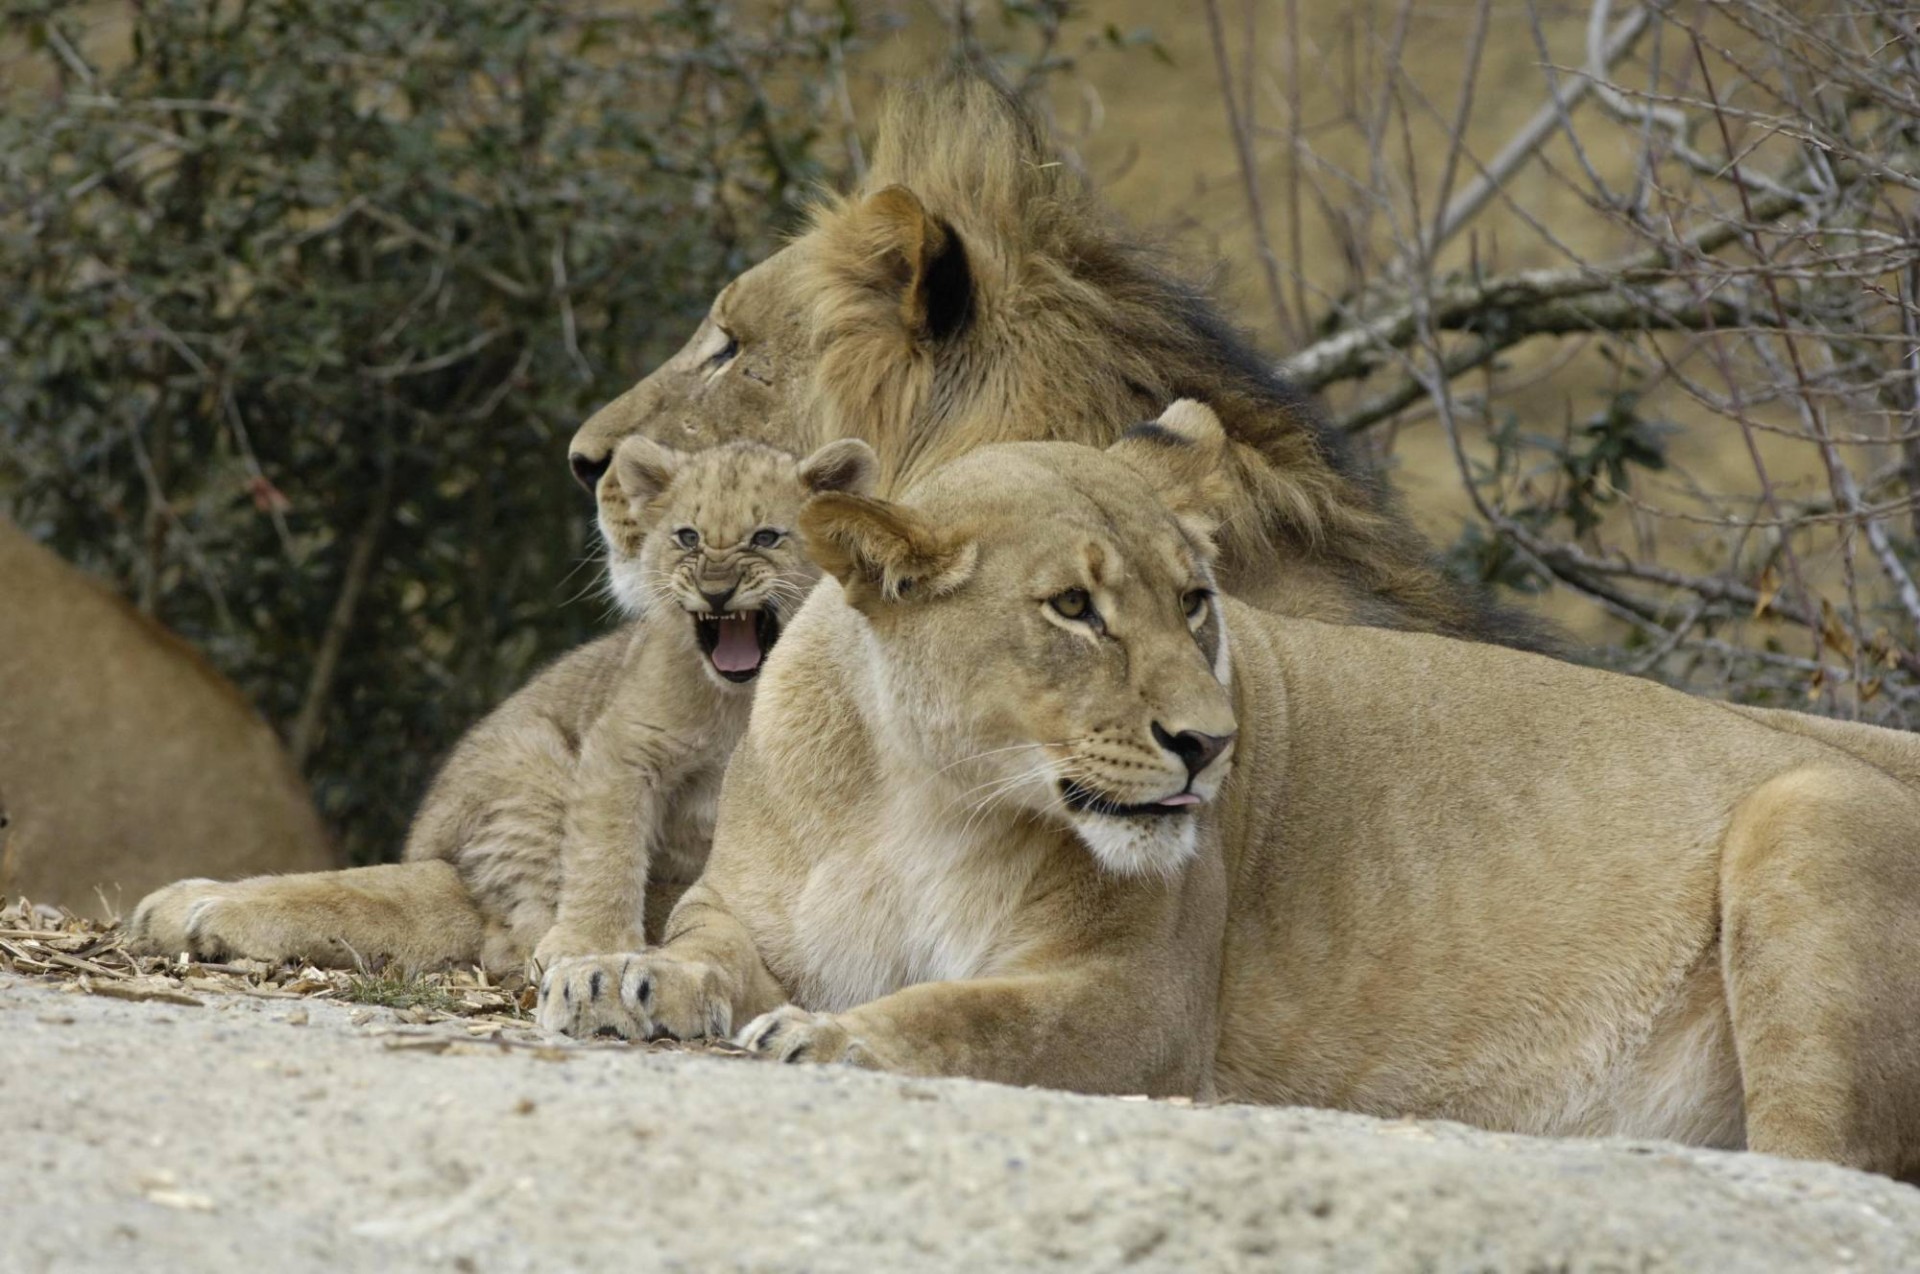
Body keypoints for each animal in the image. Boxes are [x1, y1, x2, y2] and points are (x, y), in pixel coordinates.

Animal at [129, 437, 875, 972]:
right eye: (687, 537)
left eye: (766, 537)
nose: (717, 590)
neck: (734, 701)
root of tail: (429, 846)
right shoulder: (621, 745)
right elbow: (608, 853)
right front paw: (594, 945)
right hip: (530, 765)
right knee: (506, 937)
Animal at [537, 401, 1920, 1183]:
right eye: (1074, 607)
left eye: (1194, 598)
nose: (1211, 744)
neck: (927, 794)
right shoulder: (751, 905)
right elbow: (700, 944)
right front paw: (617, 973)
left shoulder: (1142, 998)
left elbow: (976, 1014)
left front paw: (836, 1035)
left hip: (1804, 813)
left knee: (1832, 1161)